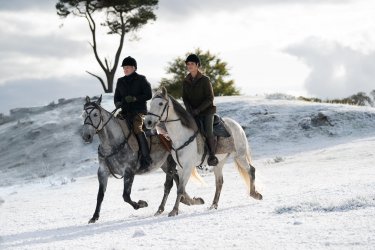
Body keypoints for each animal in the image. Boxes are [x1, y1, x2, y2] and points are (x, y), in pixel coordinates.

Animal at [81, 95, 203, 223]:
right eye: (83, 115)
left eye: (95, 114)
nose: (86, 136)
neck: (112, 145)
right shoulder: (103, 172)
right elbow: (100, 196)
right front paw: (94, 217)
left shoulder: (129, 172)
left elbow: (126, 196)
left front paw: (141, 204)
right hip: (164, 164)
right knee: (178, 182)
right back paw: (189, 201)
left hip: (171, 162)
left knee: (169, 185)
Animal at [145, 88, 262, 217]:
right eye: (151, 104)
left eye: (160, 103)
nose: (148, 122)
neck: (181, 136)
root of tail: (237, 126)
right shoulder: (180, 167)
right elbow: (181, 188)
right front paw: (193, 202)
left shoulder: (188, 167)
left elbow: (180, 189)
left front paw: (174, 211)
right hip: (219, 163)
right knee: (219, 182)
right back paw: (214, 205)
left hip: (240, 156)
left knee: (251, 170)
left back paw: (255, 194)